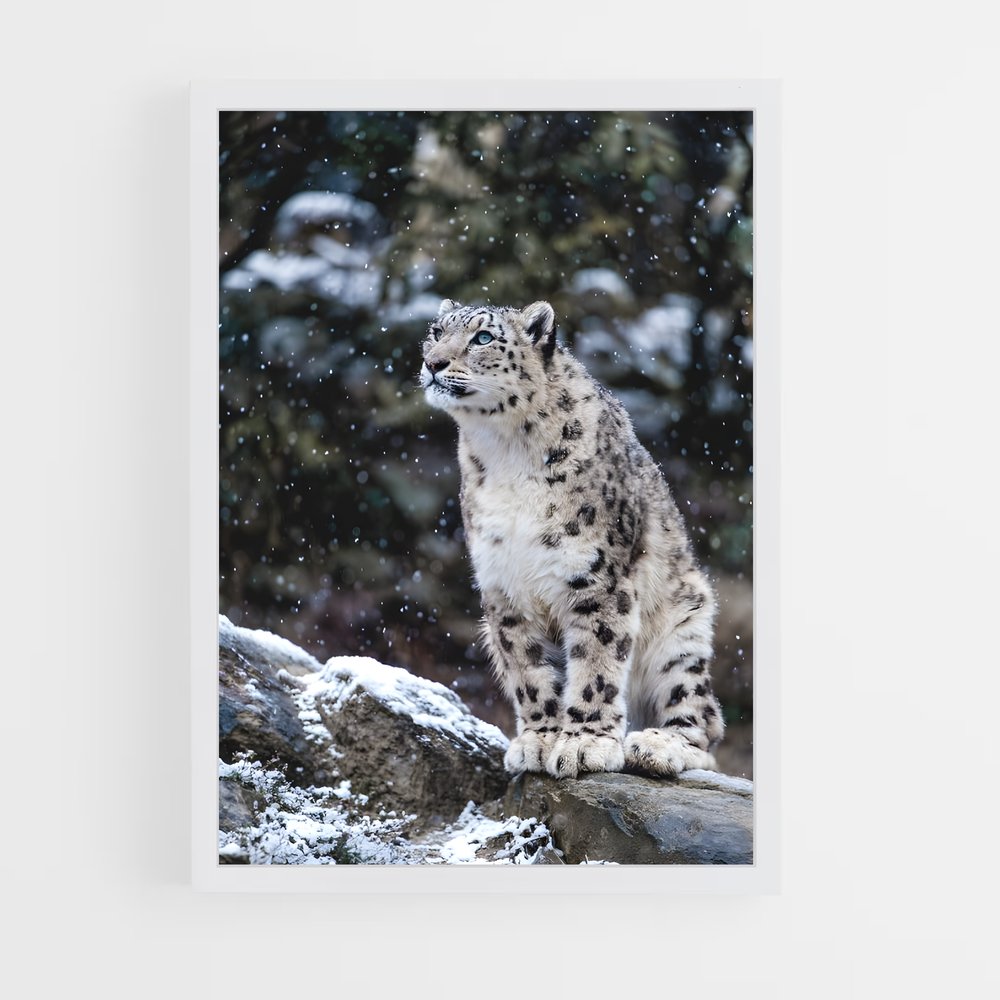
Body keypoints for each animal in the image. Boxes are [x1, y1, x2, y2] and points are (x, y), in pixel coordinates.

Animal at [419, 299, 725, 779]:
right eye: (436, 331)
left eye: (483, 337)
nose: (433, 363)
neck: (506, 454)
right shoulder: (504, 585)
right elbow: (528, 668)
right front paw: (540, 739)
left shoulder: (596, 579)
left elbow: (596, 662)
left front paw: (585, 744)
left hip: (682, 636)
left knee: (703, 723)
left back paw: (656, 746)